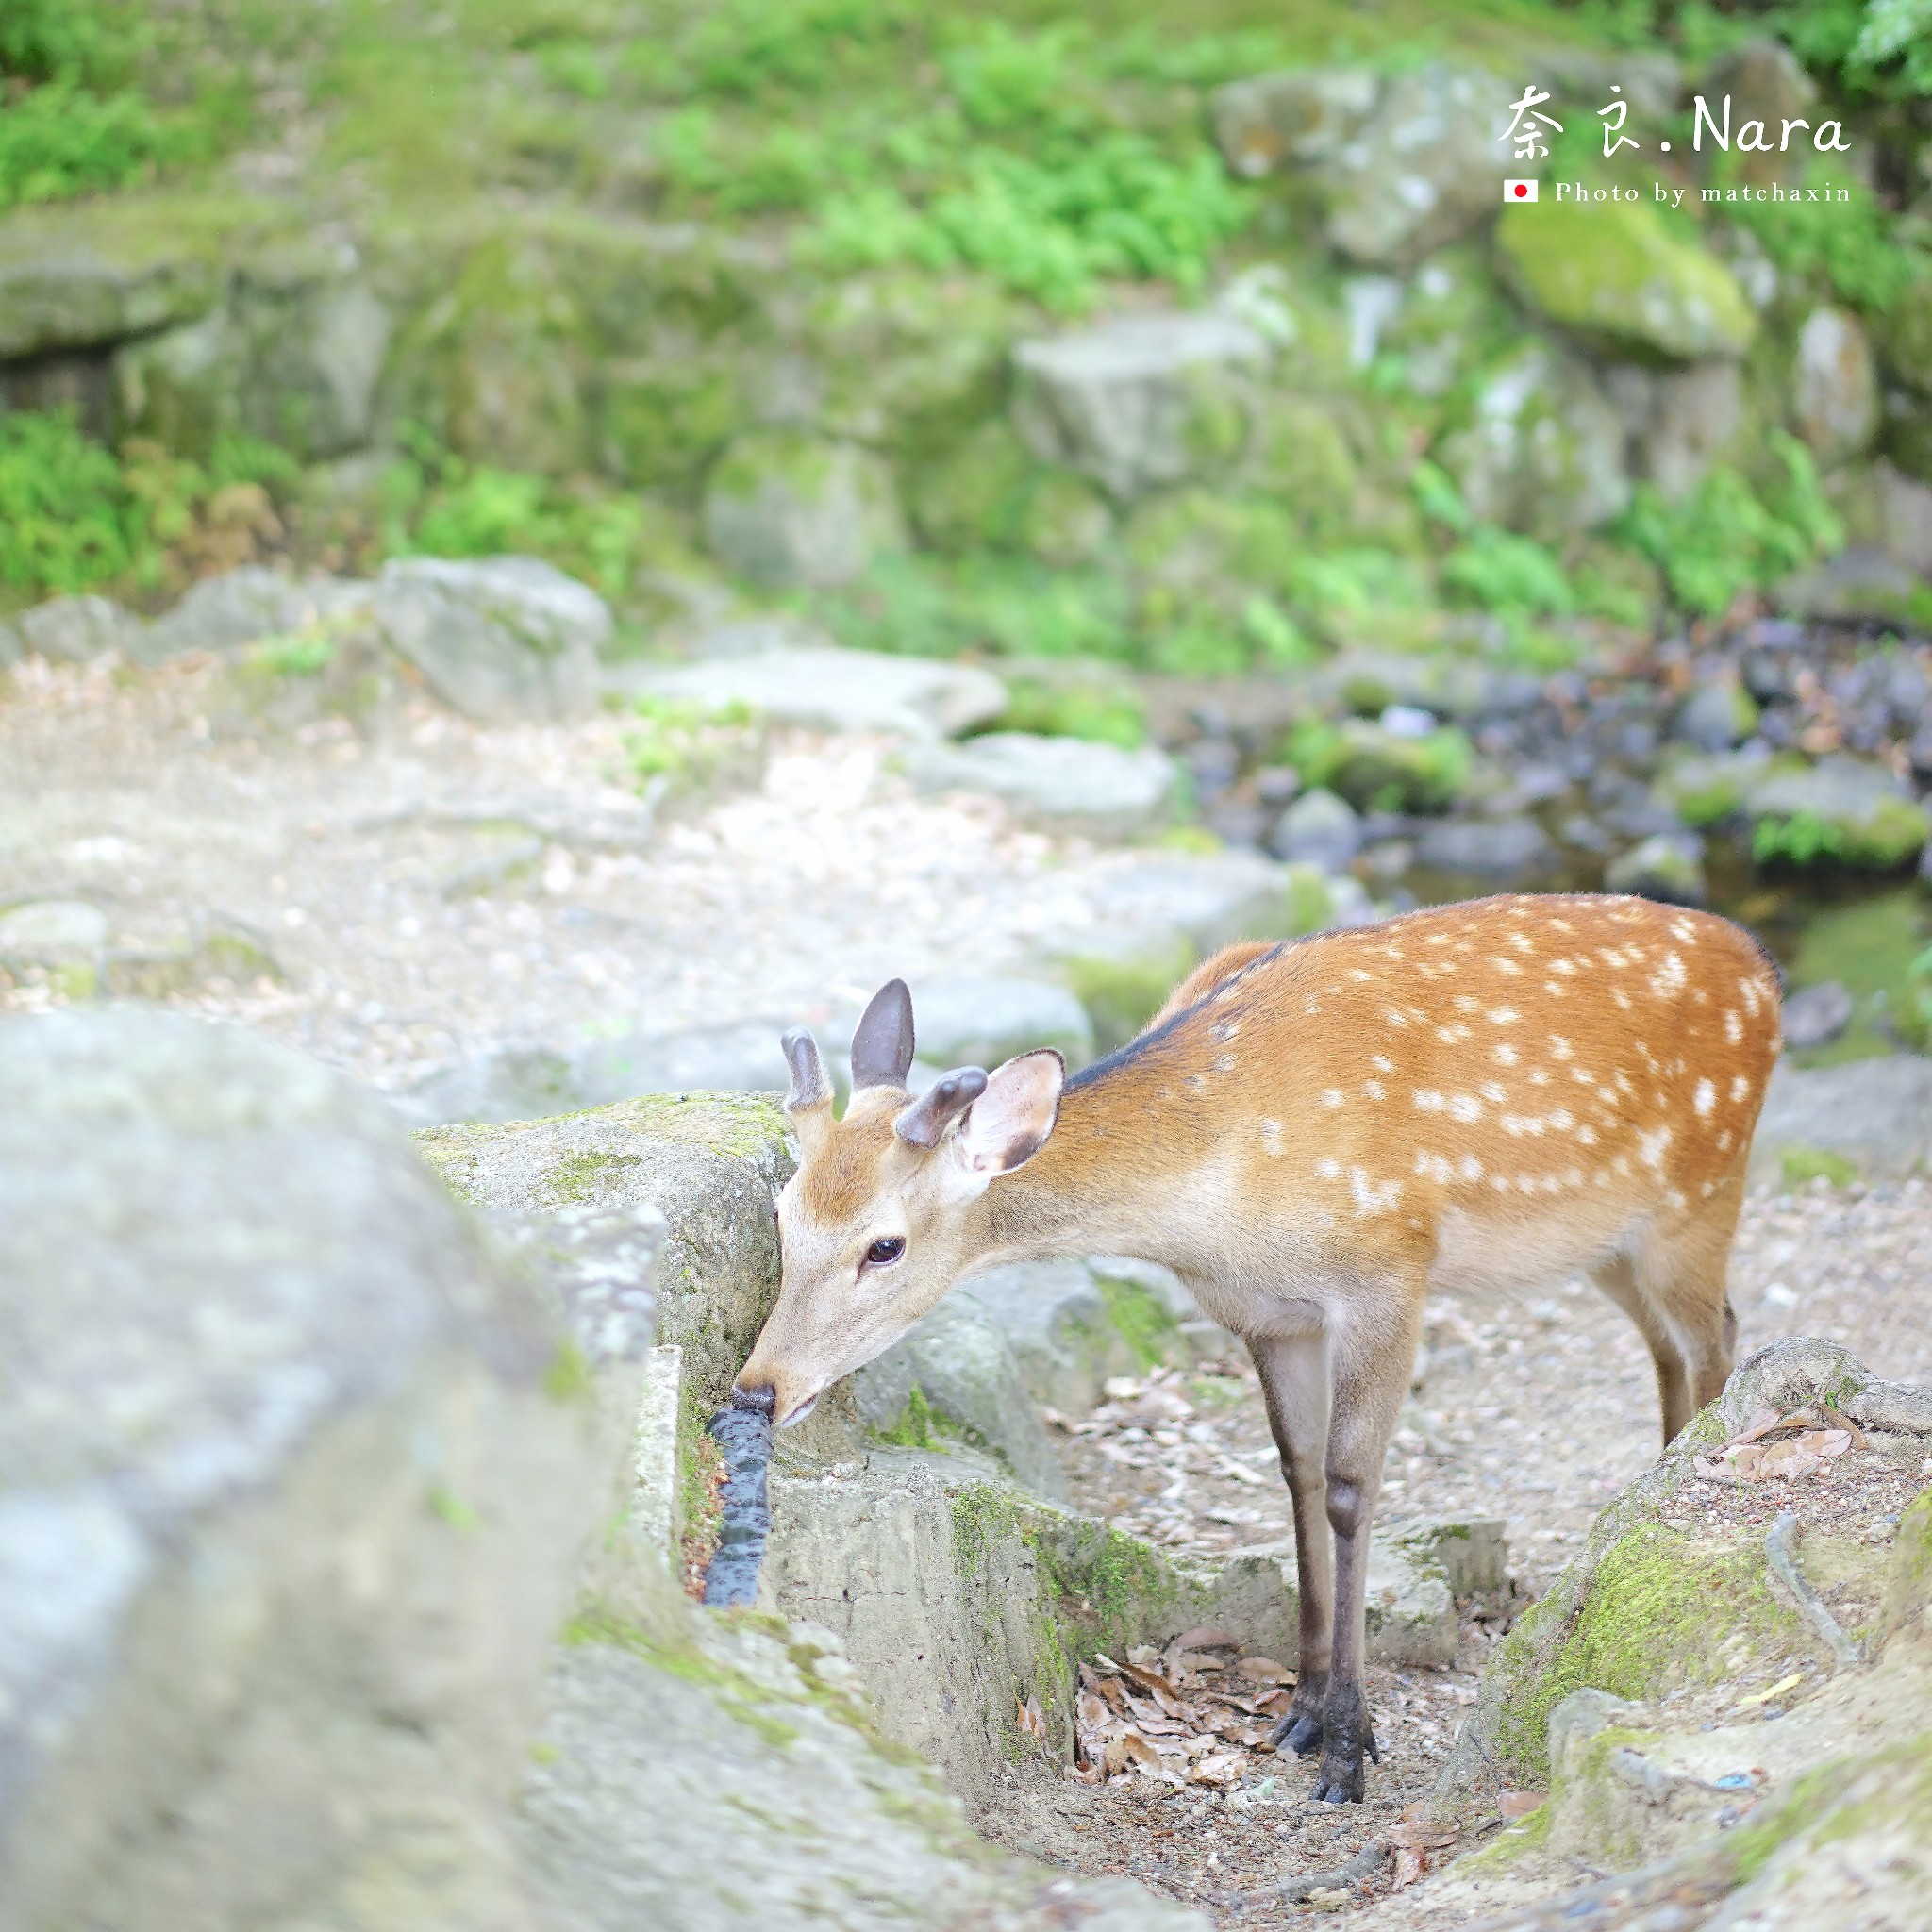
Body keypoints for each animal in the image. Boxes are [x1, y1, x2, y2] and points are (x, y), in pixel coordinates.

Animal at [734, 896, 1777, 1800]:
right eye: (781, 1213)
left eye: (884, 1244)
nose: (757, 1388)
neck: (1219, 1196)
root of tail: (1760, 964)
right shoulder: (1270, 1313)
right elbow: (1296, 1470)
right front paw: (1302, 1712)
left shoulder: (1388, 1269)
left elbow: (1352, 1486)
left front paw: (1350, 1749)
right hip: (1604, 1240)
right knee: (1667, 1345)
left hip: (1700, 1189)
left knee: (1718, 1333)